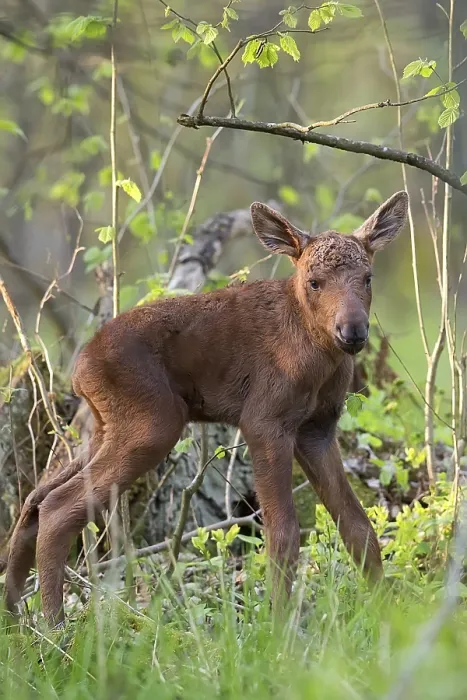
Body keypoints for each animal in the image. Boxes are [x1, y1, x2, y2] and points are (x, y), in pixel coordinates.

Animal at [3, 191, 408, 627]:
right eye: (314, 281)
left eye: (368, 278)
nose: (353, 331)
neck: (319, 360)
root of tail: (80, 370)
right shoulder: (264, 419)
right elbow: (283, 532)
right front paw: (278, 625)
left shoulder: (317, 429)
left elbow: (357, 525)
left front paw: (387, 611)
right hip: (152, 424)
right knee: (58, 506)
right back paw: (54, 624)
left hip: (103, 427)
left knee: (36, 498)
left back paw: (14, 615)